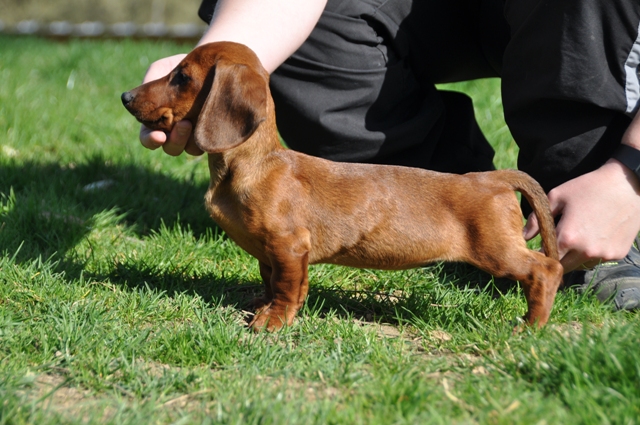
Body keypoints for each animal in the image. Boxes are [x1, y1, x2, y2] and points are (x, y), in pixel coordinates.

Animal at [122, 40, 564, 332]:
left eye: (182, 76)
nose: (126, 95)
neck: (254, 164)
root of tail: (492, 177)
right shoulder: (273, 253)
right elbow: (272, 279)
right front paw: (263, 304)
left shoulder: (288, 245)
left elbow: (286, 286)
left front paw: (273, 320)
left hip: (497, 251)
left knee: (546, 269)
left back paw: (532, 324)